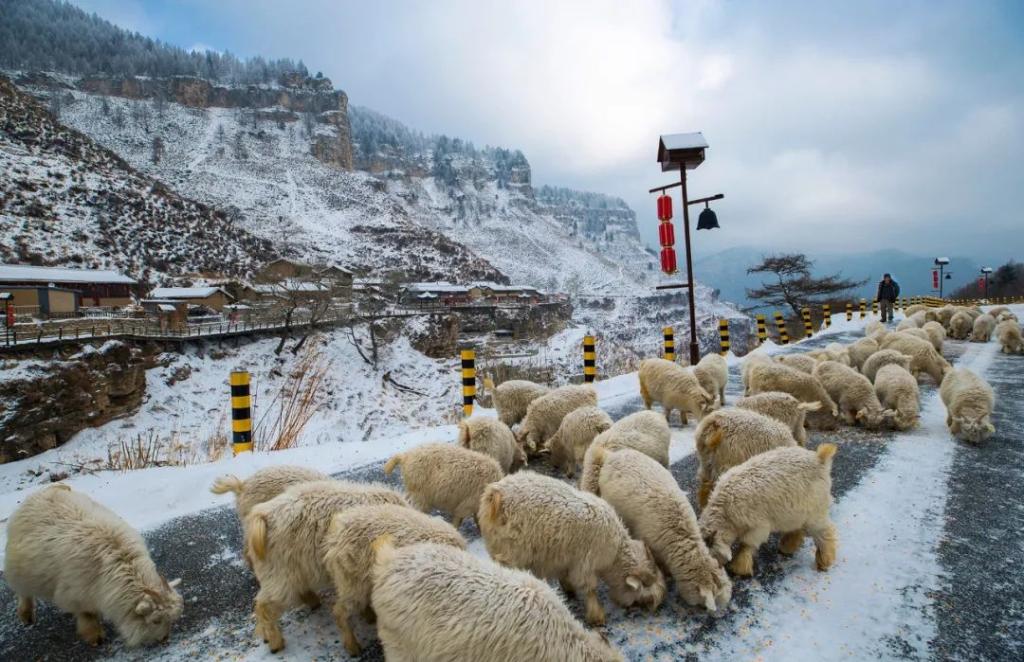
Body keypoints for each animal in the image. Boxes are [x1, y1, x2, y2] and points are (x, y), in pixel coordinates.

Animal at [4, 484, 183, 647]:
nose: (165, 639)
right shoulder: (77, 593)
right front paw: (94, 637)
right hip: (21, 570)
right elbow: (87, 614)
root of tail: (44, 490)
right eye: (155, 621)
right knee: (24, 592)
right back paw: (26, 615)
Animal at [479, 471, 666, 626]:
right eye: (647, 595)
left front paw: (568, 589)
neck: (614, 555)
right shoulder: (585, 563)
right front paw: (597, 616)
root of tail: (495, 494)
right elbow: (590, 589)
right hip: (512, 551)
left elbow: (565, 575)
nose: (656, 608)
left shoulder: (566, 556)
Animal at [699, 444, 839, 577]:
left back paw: (824, 560)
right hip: (797, 511)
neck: (725, 511)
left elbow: (746, 545)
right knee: (798, 528)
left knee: (825, 532)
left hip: (815, 511)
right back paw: (787, 547)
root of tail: (819, 458)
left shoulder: (758, 526)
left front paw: (739, 569)